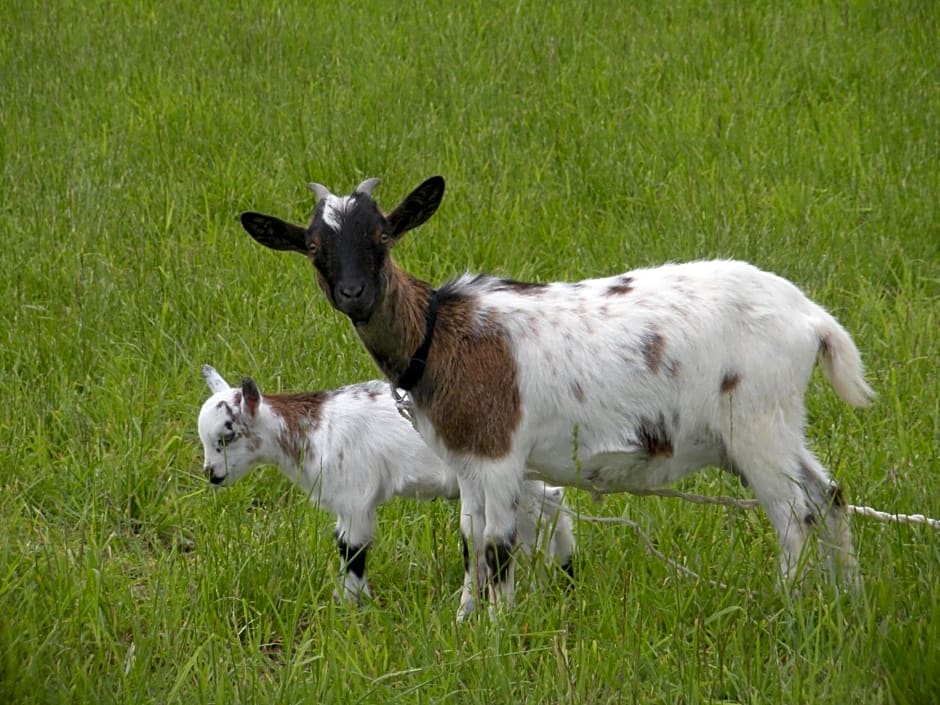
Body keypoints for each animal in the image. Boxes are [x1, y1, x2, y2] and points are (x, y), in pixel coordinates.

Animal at [198, 366, 572, 604]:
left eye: (226, 437)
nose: (212, 474)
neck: (314, 429)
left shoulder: (354, 497)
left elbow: (351, 547)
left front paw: (352, 604)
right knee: (550, 505)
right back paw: (562, 577)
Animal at [241, 176, 872, 616]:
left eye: (382, 237)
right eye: (314, 247)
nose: (354, 294)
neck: (438, 333)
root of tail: (814, 320)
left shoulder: (499, 453)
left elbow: (497, 544)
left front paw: (494, 630)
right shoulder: (467, 460)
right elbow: (470, 538)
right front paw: (464, 619)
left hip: (756, 423)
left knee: (793, 514)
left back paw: (787, 603)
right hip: (781, 422)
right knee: (830, 497)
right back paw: (848, 597)